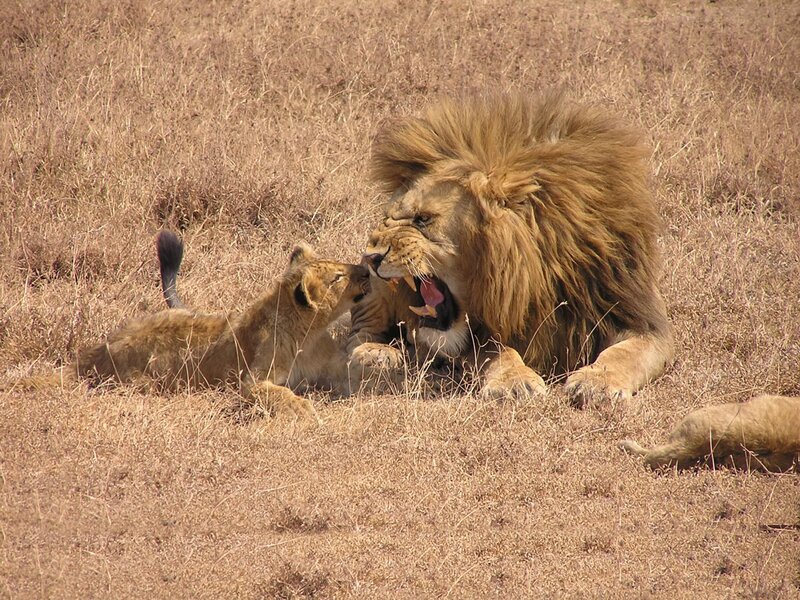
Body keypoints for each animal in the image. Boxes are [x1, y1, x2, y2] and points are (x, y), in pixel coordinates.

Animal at [9, 231, 371, 421]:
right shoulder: (250, 380)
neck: (308, 333)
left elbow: (360, 378)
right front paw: (304, 407)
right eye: (338, 277)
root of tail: (87, 359)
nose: (366, 270)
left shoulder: (333, 366)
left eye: (341, 267)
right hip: (142, 381)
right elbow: (276, 393)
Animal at [348, 92, 674, 406]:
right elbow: (500, 352)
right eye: (387, 218)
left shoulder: (639, 316)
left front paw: (596, 383)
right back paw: (377, 353)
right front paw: (516, 384)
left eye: (423, 219)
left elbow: (625, 352)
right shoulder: (479, 337)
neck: (543, 274)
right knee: (360, 332)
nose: (371, 257)